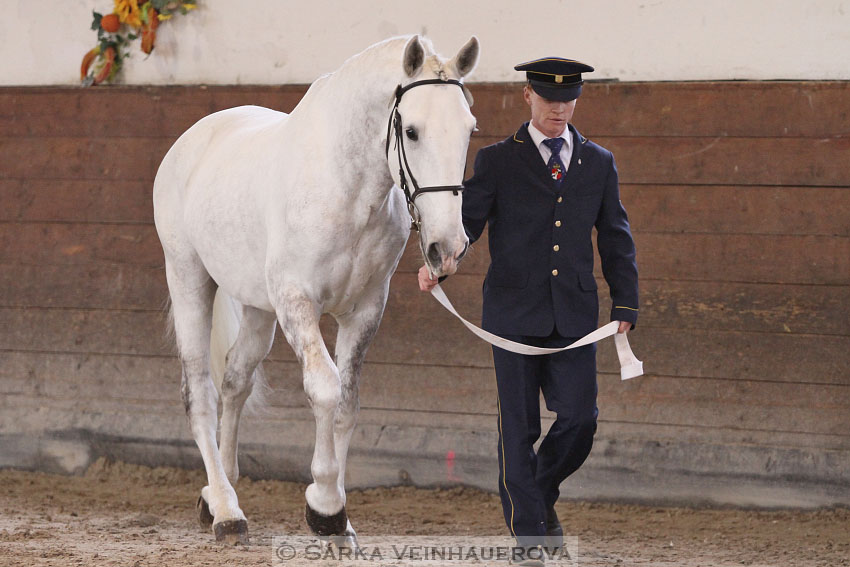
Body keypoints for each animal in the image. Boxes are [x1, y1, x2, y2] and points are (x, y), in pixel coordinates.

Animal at [152, 36, 476, 544]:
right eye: (412, 131)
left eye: (468, 130)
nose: (448, 248)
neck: (347, 191)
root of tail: (193, 140)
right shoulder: (297, 301)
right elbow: (324, 388)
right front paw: (323, 505)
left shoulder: (365, 310)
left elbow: (346, 402)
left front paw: (339, 516)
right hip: (188, 280)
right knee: (199, 393)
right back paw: (226, 510)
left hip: (258, 308)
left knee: (235, 382)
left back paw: (218, 491)